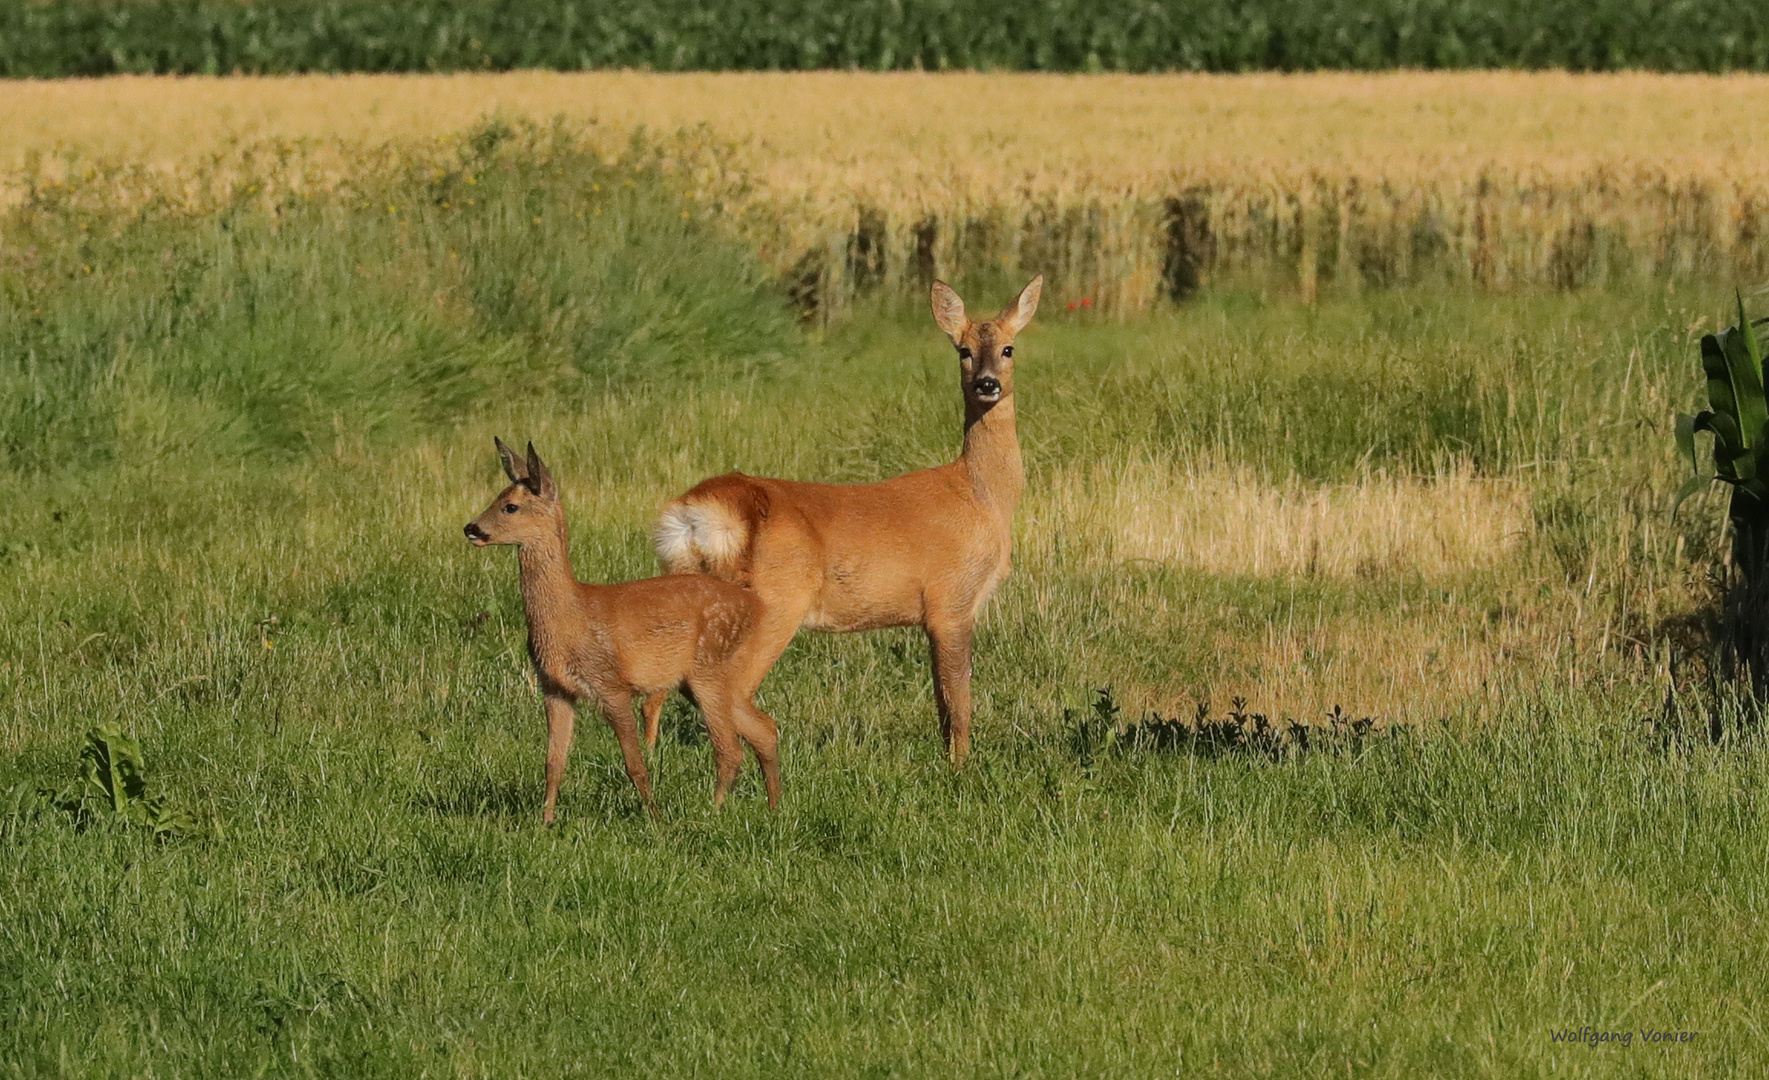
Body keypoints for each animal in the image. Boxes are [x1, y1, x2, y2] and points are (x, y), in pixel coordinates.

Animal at [463, 436, 781, 820]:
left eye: (510, 506)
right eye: (496, 497)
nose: (471, 528)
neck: (570, 616)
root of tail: (755, 603)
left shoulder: (612, 684)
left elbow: (635, 764)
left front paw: (655, 818)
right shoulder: (555, 687)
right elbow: (553, 763)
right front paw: (545, 822)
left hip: (709, 662)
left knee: (730, 747)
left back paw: (713, 811)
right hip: (705, 677)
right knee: (764, 728)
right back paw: (775, 807)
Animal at [650, 279, 1033, 770]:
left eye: (1008, 348)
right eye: (963, 351)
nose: (988, 384)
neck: (982, 495)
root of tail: (700, 511)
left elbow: (942, 702)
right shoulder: (951, 599)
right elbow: (959, 700)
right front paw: (960, 766)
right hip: (774, 603)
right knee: (726, 692)